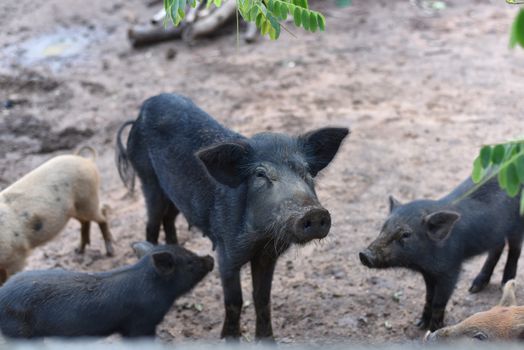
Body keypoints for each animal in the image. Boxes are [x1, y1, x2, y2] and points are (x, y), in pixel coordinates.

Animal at [116, 93, 350, 340]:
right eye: (260, 174)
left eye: (305, 171)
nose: (313, 212)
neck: (261, 238)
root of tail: (139, 114)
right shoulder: (226, 251)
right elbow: (234, 301)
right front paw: (228, 339)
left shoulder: (268, 256)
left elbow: (262, 299)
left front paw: (268, 341)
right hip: (148, 179)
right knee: (150, 225)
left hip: (172, 193)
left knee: (169, 219)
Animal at [360, 178, 524, 330]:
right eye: (384, 227)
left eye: (406, 234)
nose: (364, 254)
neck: (423, 262)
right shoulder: (428, 273)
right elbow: (429, 297)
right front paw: (419, 325)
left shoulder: (451, 269)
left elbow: (439, 302)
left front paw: (433, 330)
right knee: (498, 247)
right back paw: (474, 288)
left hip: (517, 225)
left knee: (514, 249)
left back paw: (504, 283)